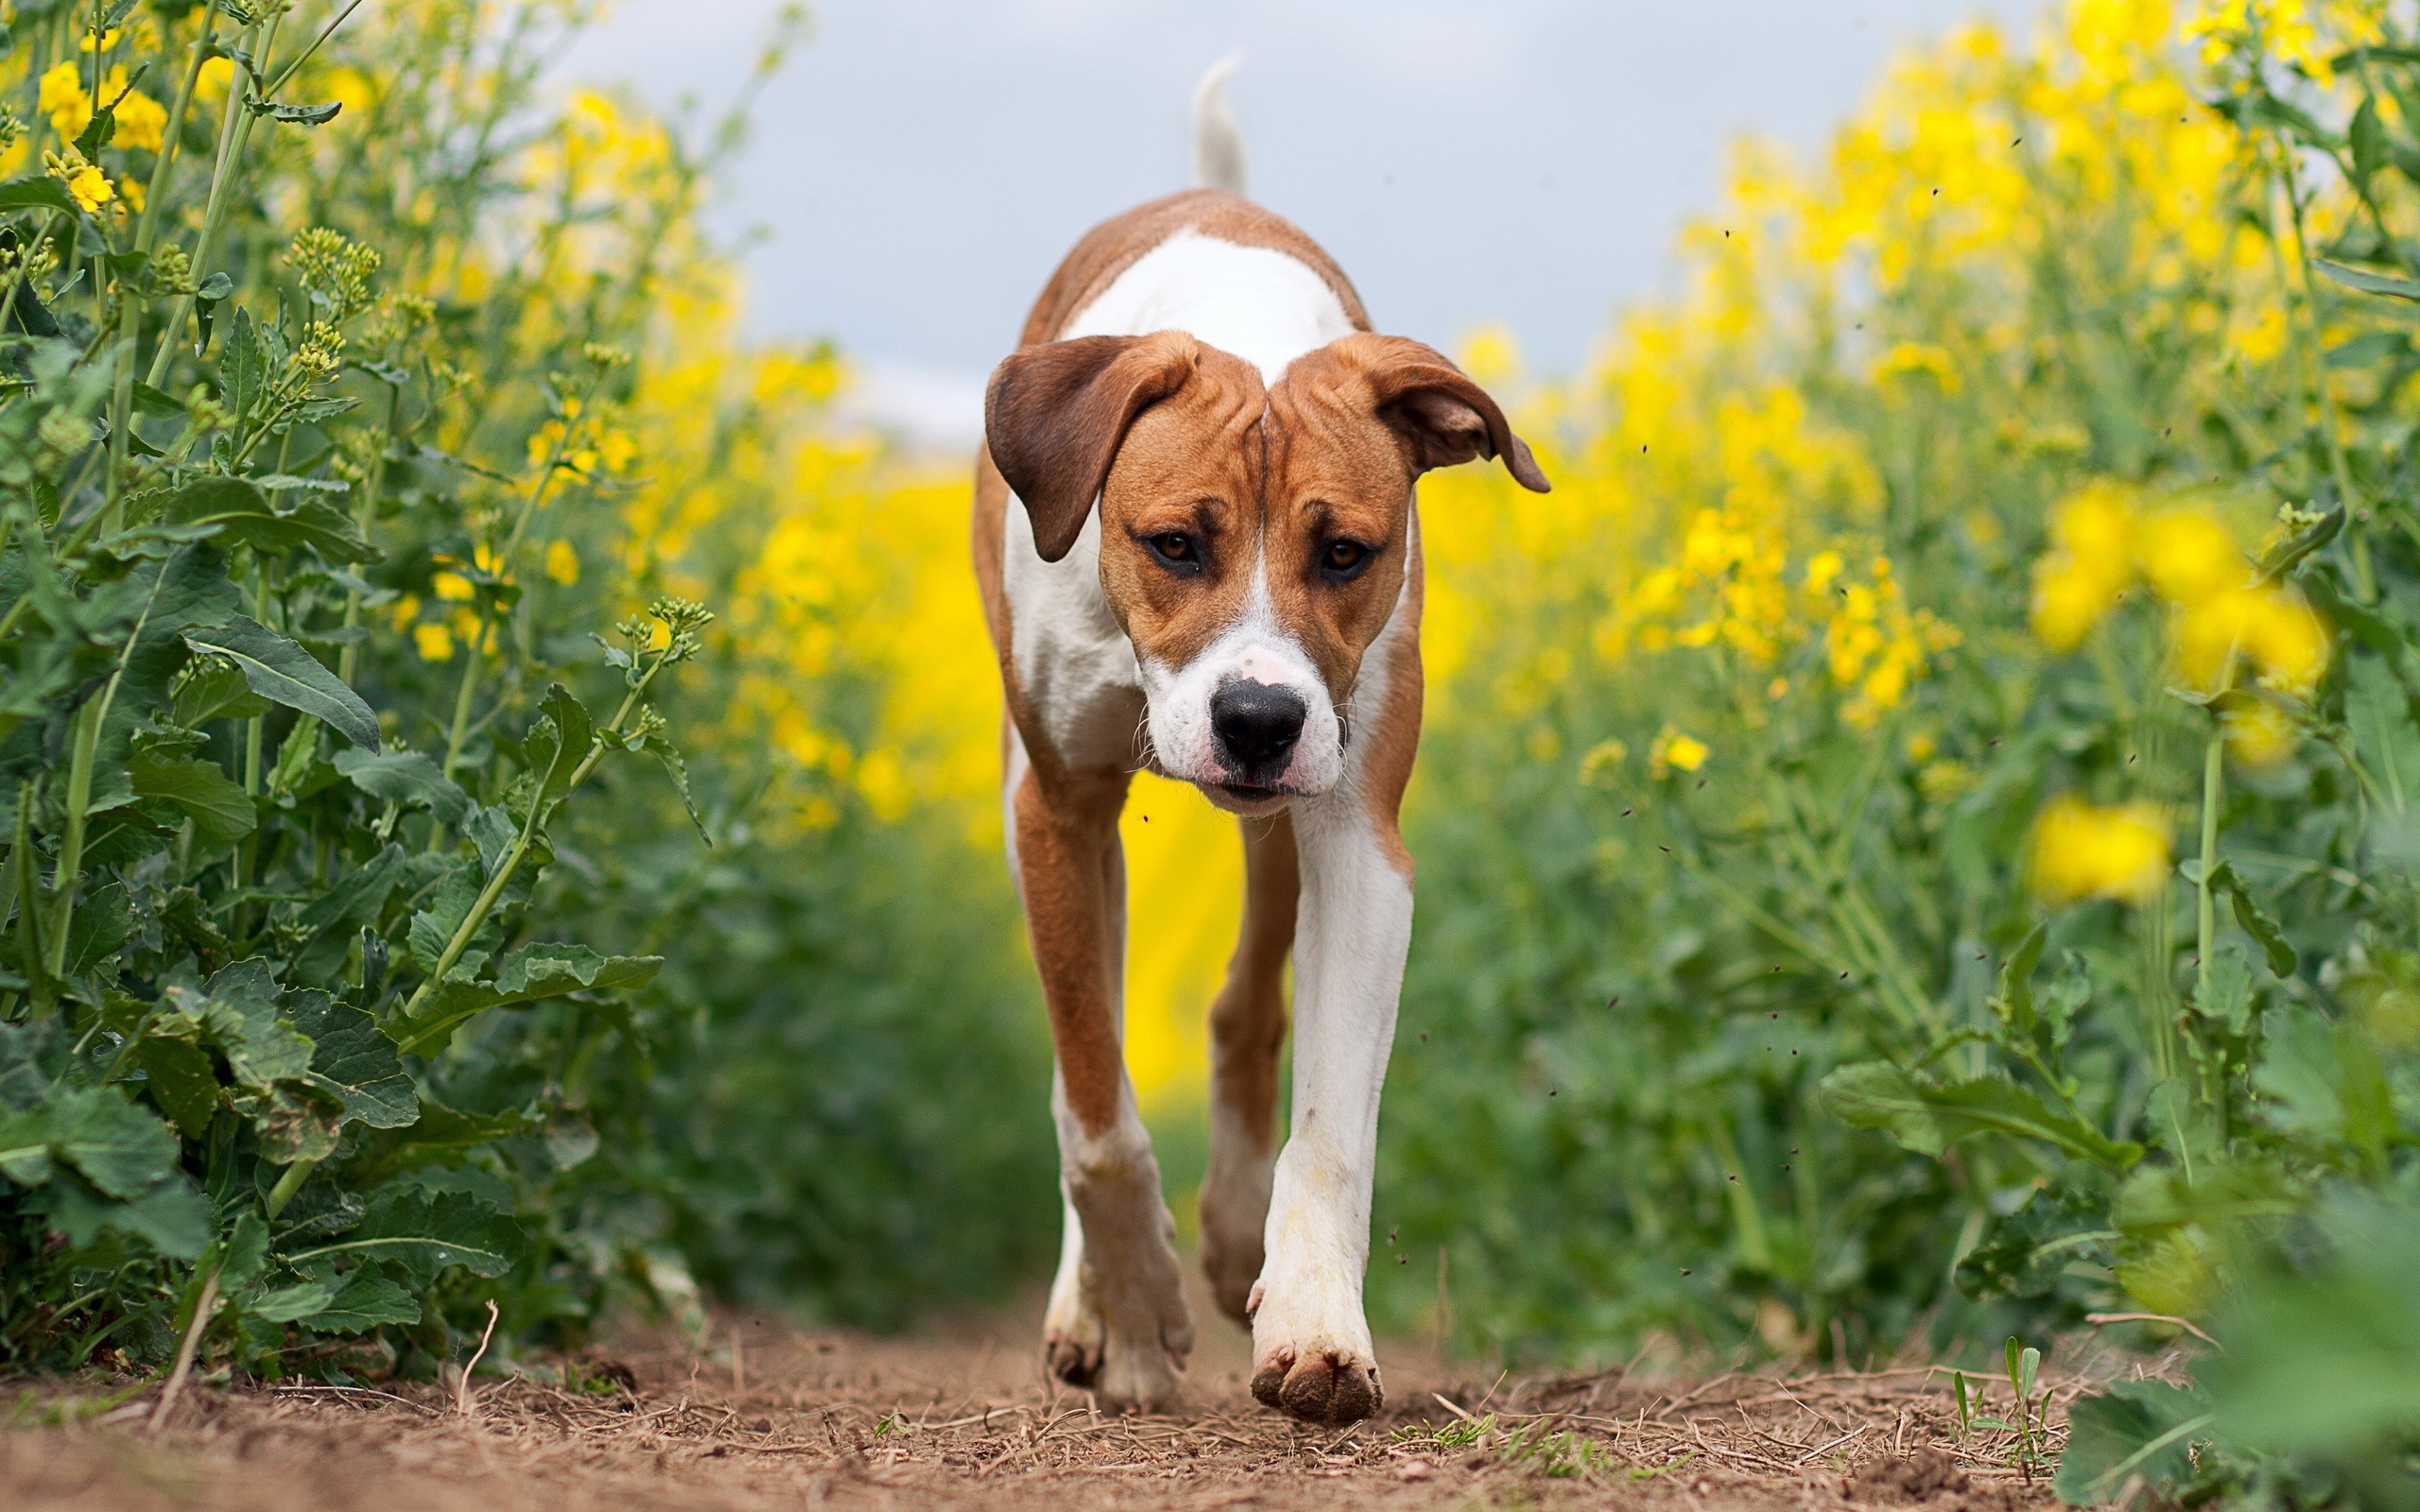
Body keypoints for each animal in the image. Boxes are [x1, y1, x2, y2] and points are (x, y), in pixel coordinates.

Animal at [968, 77, 1548, 1422]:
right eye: (1174, 542)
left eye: (1345, 553)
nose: (1257, 719)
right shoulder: (1057, 808)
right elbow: (1095, 1105)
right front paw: (1132, 1313)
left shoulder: (1356, 833)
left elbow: (1330, 1126)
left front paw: (1316, 1323)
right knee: (1094, 1055)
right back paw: (1093, 1307)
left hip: (1290, 819)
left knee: (1242, 1009)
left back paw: (1235, 1235)